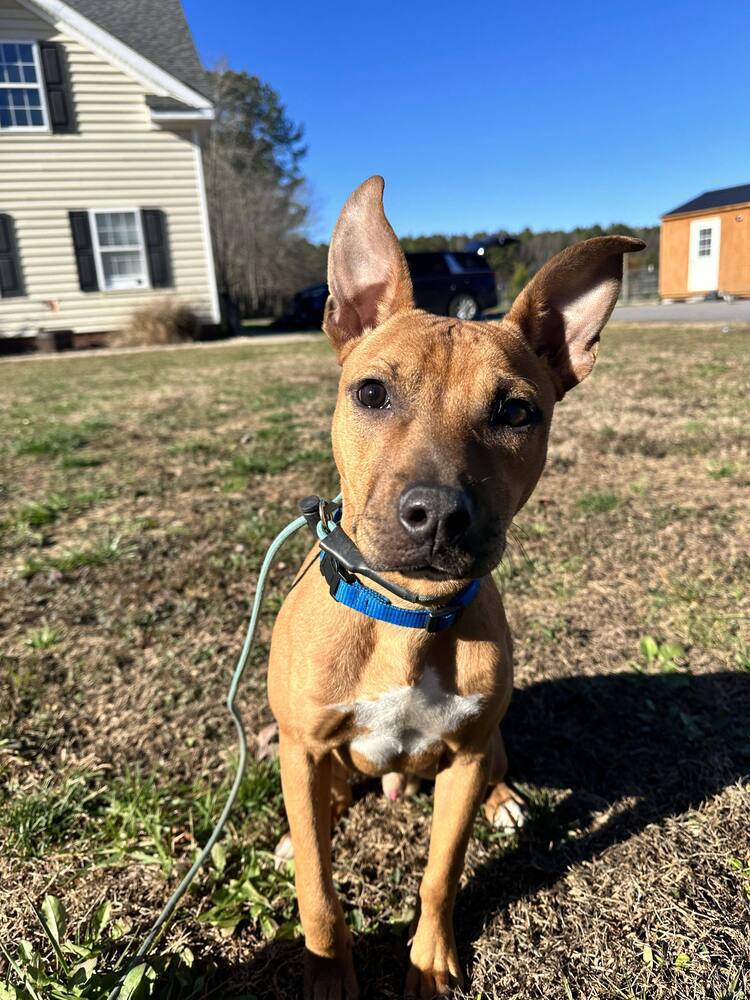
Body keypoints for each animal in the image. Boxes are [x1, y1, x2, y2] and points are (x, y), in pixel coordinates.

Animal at [268, 176, 648, 996]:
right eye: (370, 393)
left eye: (516, 411)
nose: (438, 514)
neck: (408, 617)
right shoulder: (305, 748)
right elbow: (319, 890)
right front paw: (328, 974)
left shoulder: (464, 760)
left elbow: (441, 873)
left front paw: (431, 960)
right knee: (324, 808)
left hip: (483, 746)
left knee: (493, 768)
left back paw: (506, 803)